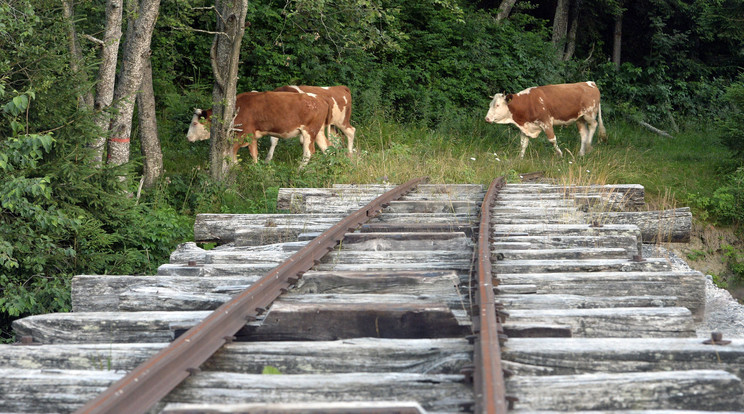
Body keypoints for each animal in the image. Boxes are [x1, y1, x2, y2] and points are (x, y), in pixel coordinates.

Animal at [186, 91, 328, 166]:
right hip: (318, 132)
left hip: (309, 131)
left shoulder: (243, 134)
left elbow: (232, 153)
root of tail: (319, 98)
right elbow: (254, 153)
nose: (187, 137)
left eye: (195, 123)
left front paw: (235, 167)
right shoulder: (252, 135)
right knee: (327, 148)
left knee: (308, 153)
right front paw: (255, 168)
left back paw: (299, 171)